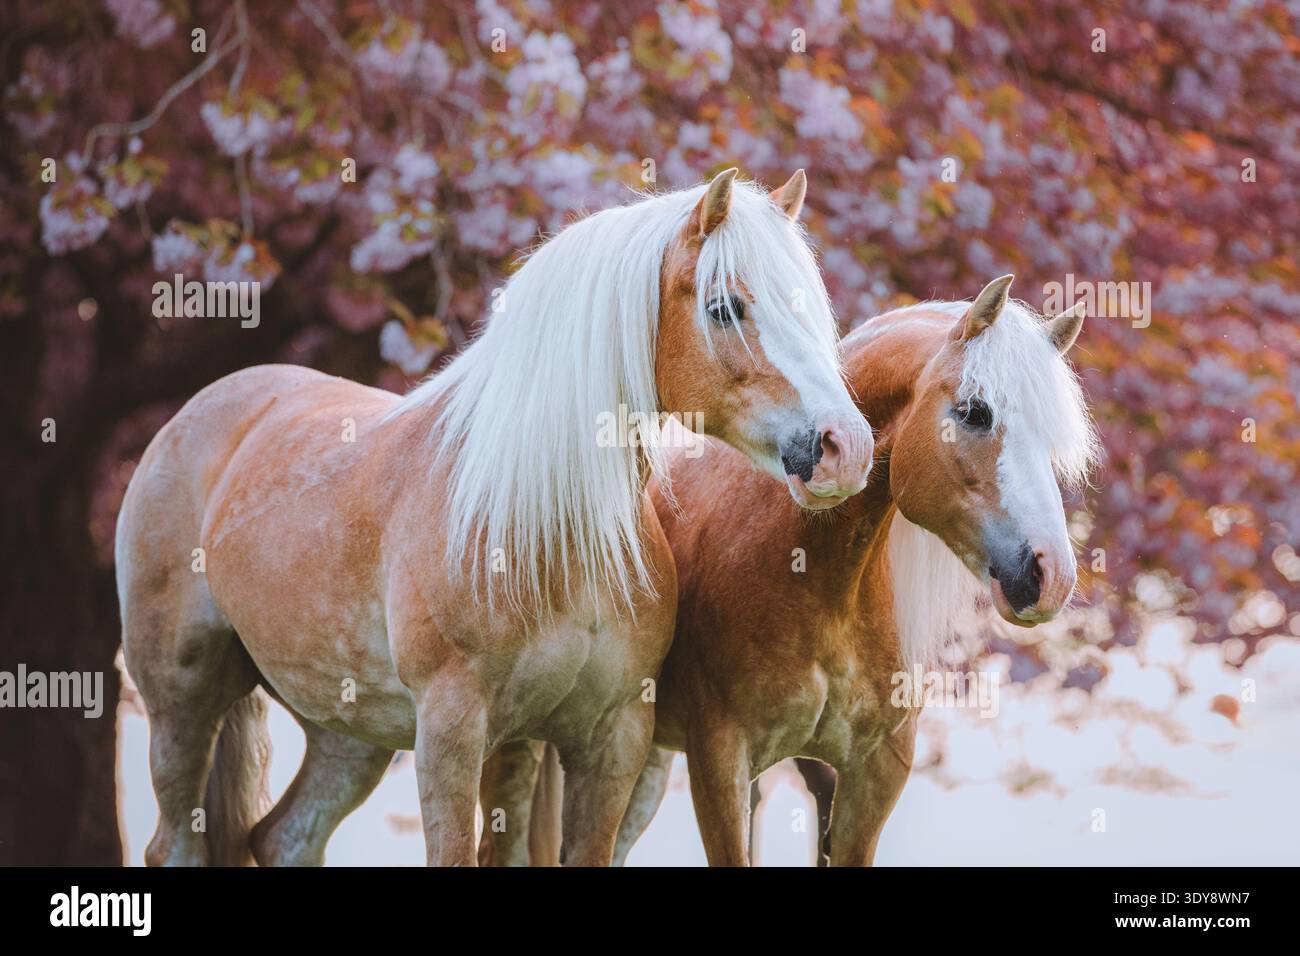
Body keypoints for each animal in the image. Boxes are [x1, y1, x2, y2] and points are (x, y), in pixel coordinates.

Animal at [115, 168, 875, 867]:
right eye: (724, 307)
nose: (844, 447)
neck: (551, 528)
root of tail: (211, 405)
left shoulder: (609, 737)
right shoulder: (453, 731)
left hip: (349, 729)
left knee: (285, 838)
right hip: (182, 702)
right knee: (174, 843)